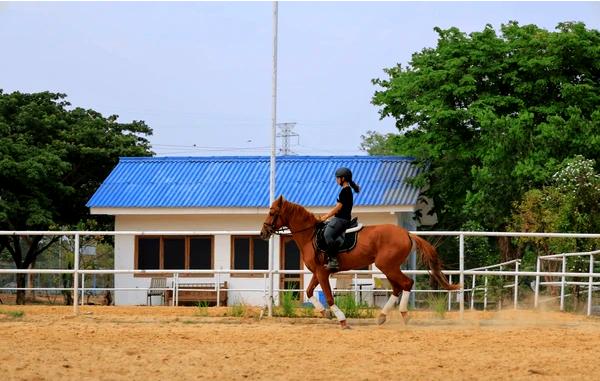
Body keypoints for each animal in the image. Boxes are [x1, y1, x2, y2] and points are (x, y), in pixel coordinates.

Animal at [258, 194, 460, 328]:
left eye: (272, 212)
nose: (263, 233)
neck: (310, 236)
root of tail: (406, 233)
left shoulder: (322, 273)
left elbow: (329, 297)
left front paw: (342, 320)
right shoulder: (319, 272)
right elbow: (308, 291)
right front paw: (325, 313)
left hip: (387, 266)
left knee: (406, 283)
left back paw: (403, 314)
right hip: (389, 267)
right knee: (397, 287)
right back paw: (382, 317)